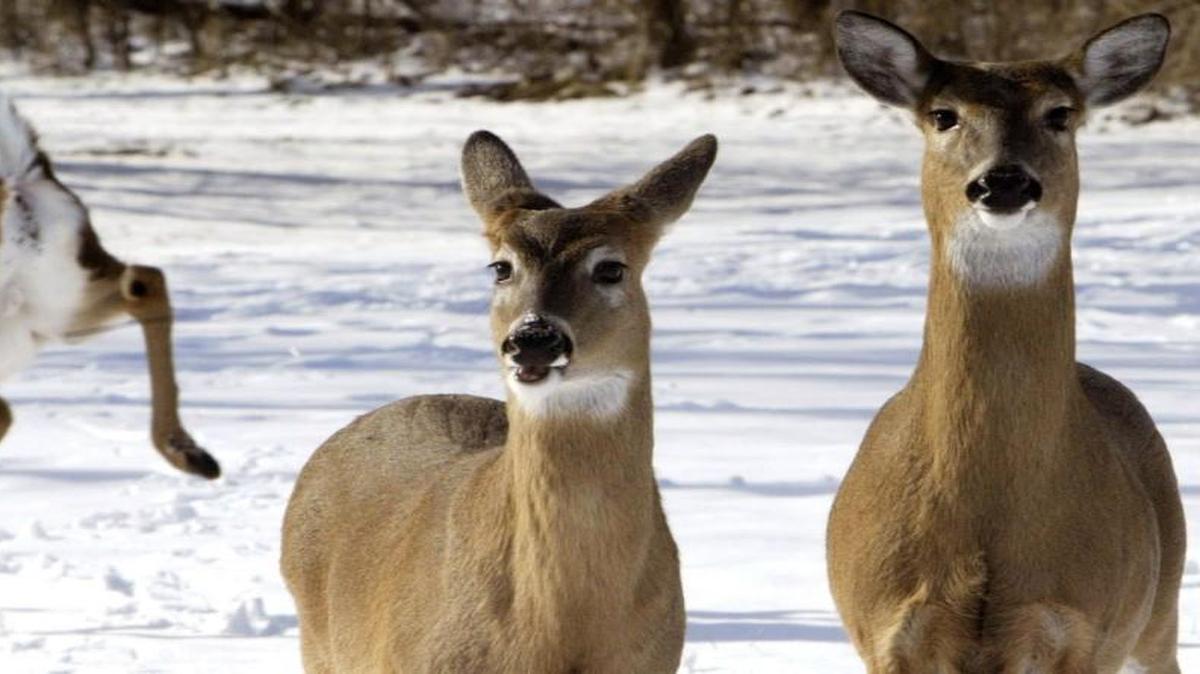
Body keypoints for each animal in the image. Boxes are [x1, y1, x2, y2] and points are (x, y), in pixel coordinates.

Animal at [826, 11, 1184, 674]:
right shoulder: (882, 629)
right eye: (944, 114)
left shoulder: (1080, 630)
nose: (1004, 181)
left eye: (1059, 113)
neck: (987, 513)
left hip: (1158, 604)